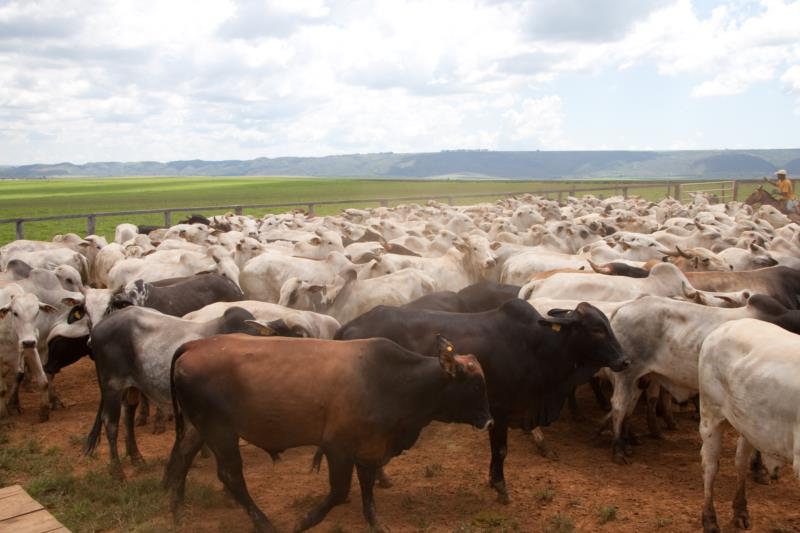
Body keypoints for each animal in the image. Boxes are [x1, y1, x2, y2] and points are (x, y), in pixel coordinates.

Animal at [165, 330, 490, 528]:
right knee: (231, 475)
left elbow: (367, 485)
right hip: (220, 431)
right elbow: (340, 489)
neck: (391, 380)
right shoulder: (338, 448)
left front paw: (374, 521)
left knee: (182, 458)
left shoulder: (369, 447)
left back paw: (178, 511)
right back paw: (263, 522)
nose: (489, 420)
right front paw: (305, 521)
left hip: (199, 428)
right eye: (475, 385)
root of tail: (194, 345)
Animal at [334, 300, 628, 502]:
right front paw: (500, 487)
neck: (538, 346)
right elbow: (501, 451)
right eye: (597, 329)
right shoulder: (500, 410)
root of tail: (347, 327)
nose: (625, 360)